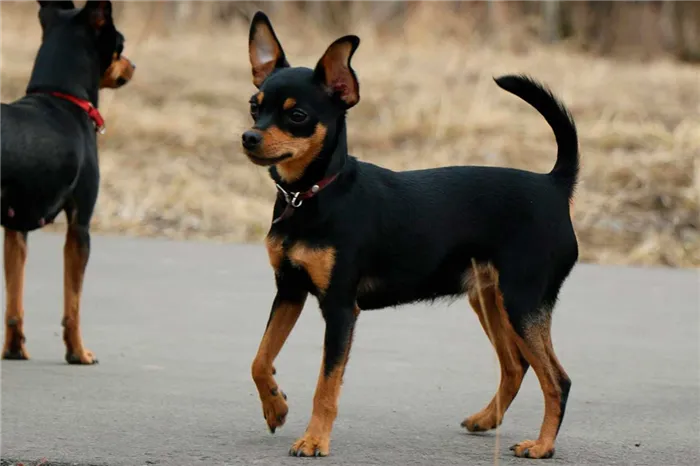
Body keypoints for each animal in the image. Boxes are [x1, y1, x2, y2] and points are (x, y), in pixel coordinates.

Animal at [0, 0, 135, 364]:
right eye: (121, 45)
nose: (133, 65)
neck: (60, 97)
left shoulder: (15, 230)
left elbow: (14, 303)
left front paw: (14, 350)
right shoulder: (80, 227)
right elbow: (72, 303)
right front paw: (78, 353)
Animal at [243, 10, 576, 458]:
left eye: (297, 117)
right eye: (254, 107)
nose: (249, 137)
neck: (312, 194)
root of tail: (553, 184)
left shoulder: (340, 309)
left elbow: (326, 384)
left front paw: (314, 439)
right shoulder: (289, 291)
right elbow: (260, 359)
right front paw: (275, 406)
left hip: (521, 301)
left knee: (557, 379)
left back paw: (541, 446)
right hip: (491, 298)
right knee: (516, 365)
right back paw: (487, 419)